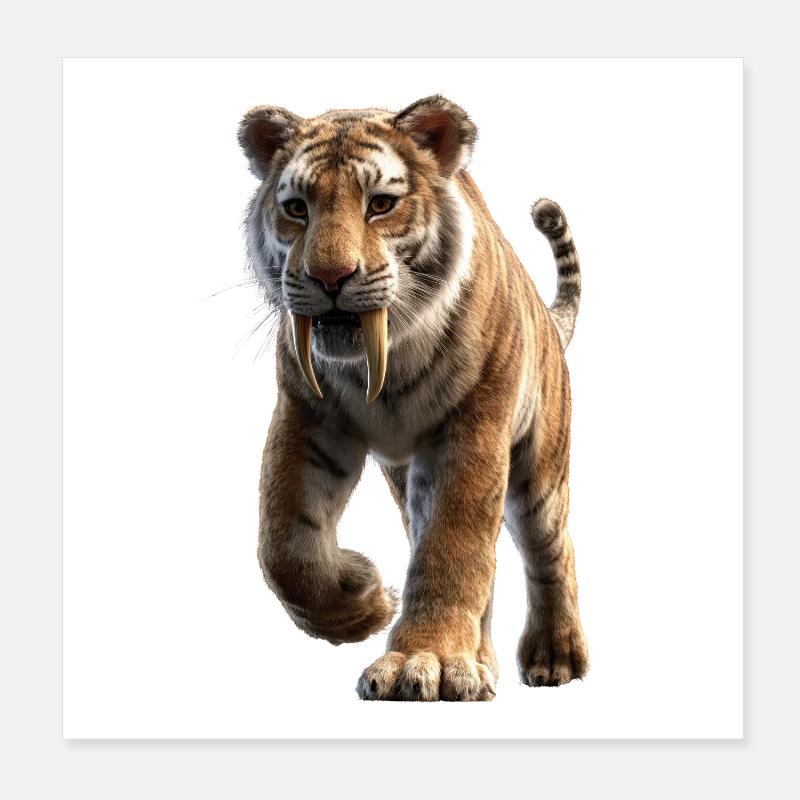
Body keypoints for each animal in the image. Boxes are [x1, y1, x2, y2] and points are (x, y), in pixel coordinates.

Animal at [238, 95, 588, 701]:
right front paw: (362, 601)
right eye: (297, 208)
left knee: (551, 549)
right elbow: (284, 545)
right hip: (407, 481)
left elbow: (453, 548)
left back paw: (555, 658)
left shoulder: (472, 429)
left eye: (380, 204)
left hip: (538, 471)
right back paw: (481, 659)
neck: (385, 362)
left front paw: (429, 662)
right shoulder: (308, 417)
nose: (329, 276)